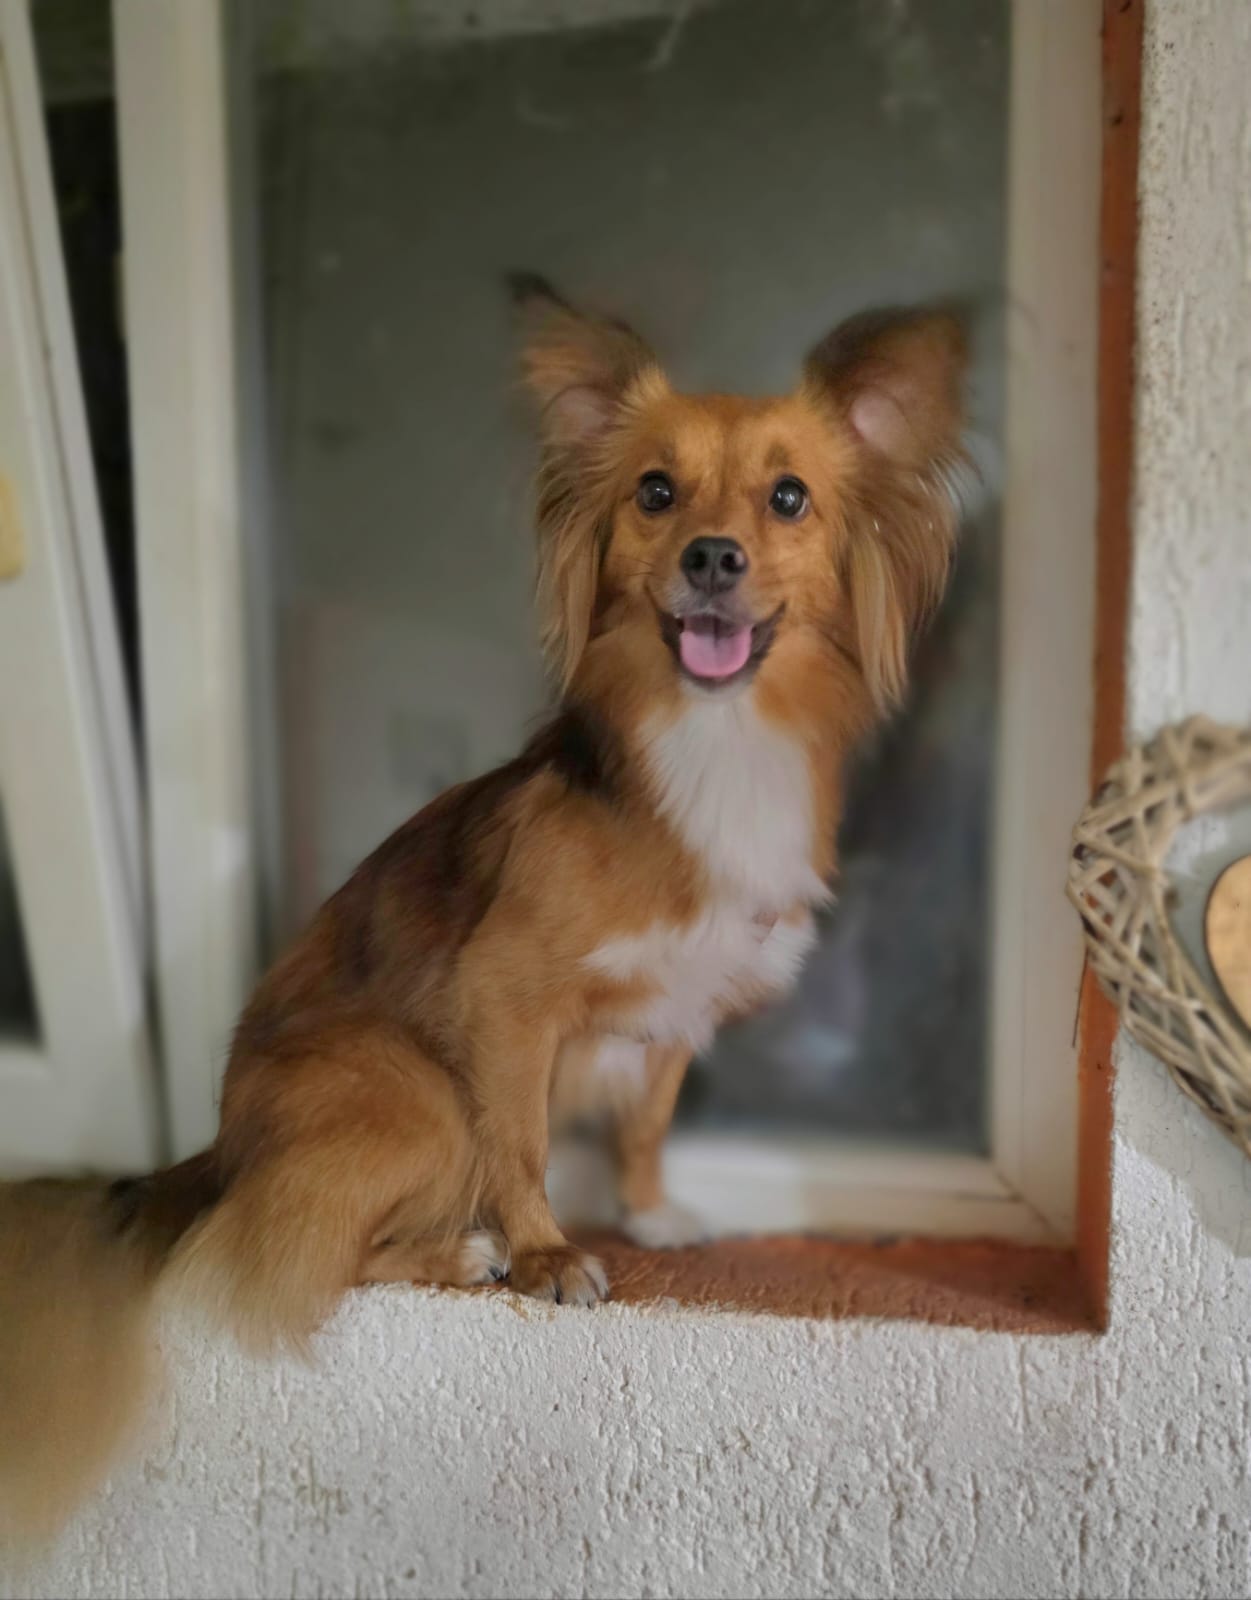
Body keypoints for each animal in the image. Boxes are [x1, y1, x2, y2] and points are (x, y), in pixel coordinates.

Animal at [0, 277, 966, 1547]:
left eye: (789, 497)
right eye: (655, 492)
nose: (712, 557)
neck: (710, 747)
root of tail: (214, 1154)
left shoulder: (677, 1009)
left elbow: (649, 1119)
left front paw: (648, 1212)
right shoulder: (506, 997)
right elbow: (522, 1143)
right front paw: (550, 1250)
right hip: (417, 1098)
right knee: (290, 1256)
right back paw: (469, 1254)